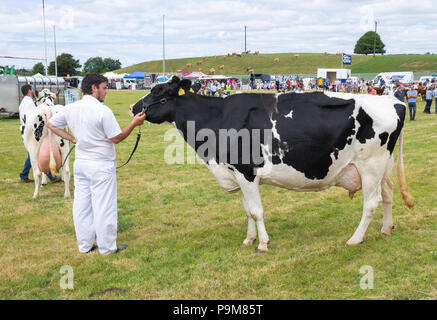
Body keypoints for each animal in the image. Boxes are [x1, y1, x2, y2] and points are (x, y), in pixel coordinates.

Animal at [130, 75, 412, 252]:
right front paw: (249, 239)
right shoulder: (239, 174)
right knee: (388, 194)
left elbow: (256, 211)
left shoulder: (246, 172)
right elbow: (247, 210)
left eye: (159, 92)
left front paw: (263, 243)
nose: (134, 108)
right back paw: (386, 229)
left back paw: (355, 239)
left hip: (370, 164)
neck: (218, 118)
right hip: (382, 167)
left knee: (371, 202)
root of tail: (393, 100)